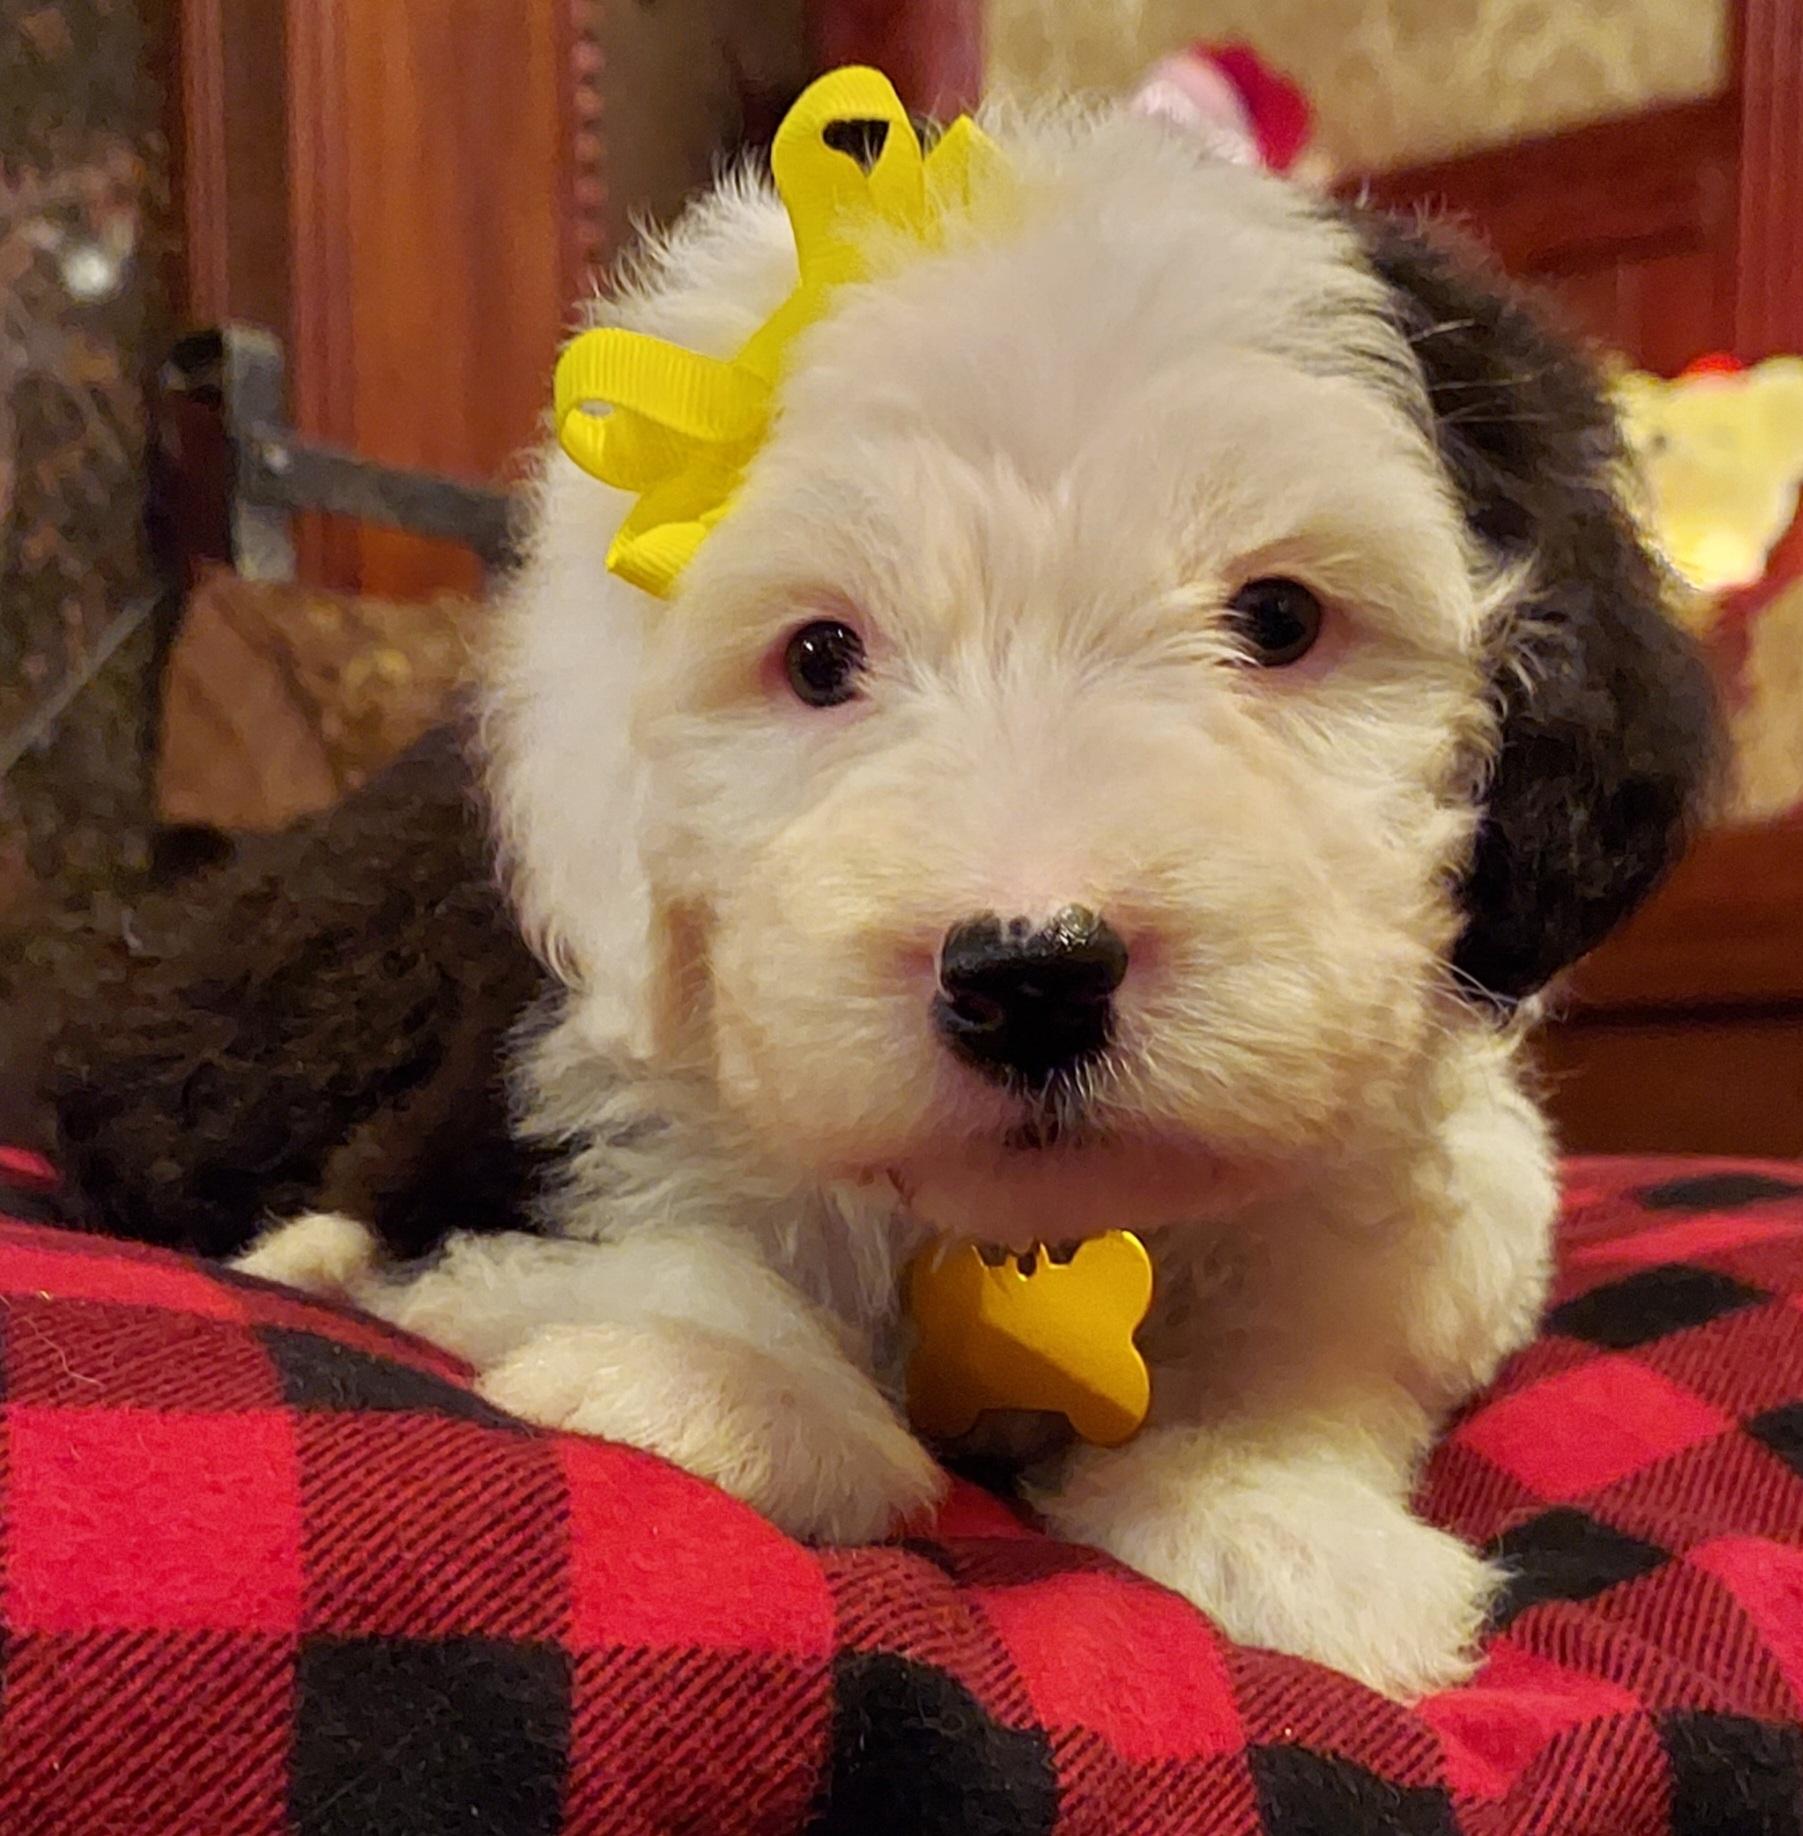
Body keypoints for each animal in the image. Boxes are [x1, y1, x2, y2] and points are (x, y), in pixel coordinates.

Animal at [212, 92, 1716, 1699]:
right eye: (820, 656)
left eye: (1278, 618)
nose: (1031, 974)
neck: (1014, 1233)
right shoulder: (522, 1118)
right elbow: (628, 1259)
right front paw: (732, 1387)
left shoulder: (1438, 1196)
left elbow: (1337, 1321)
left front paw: (1274, 1516)